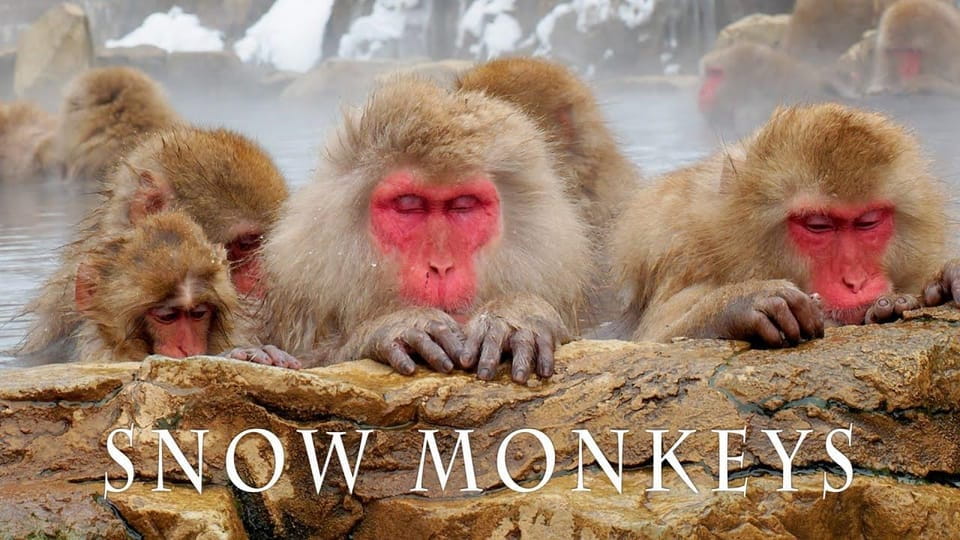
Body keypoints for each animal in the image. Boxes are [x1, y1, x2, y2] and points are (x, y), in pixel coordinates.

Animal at [611, 103, 955, 348]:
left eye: (867, 222)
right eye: (818, 226)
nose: (855, 282)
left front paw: (944, 279)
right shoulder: (681, 253)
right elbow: (653, 339)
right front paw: (742, 303)